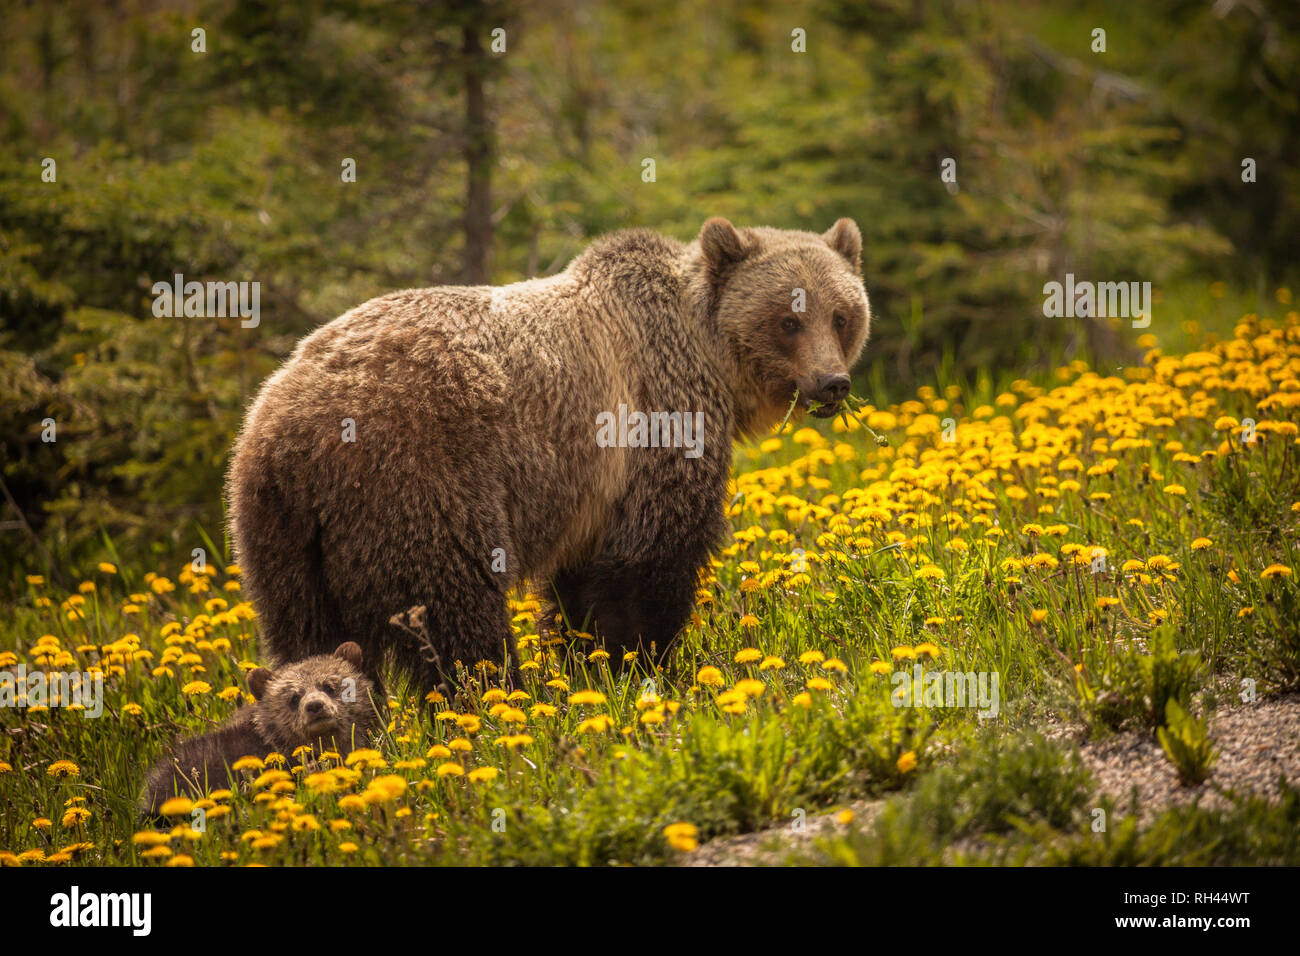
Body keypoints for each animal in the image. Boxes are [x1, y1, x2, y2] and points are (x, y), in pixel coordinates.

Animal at [228, 221, 868, 691]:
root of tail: (286, 429)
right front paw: (643, 666)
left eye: (841, 315)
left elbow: (581, 586)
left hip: (281, 536)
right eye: (788, 319)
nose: (832, 383)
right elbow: (650, 561)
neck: (707, 357)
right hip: (417, 481)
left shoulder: (592, 491)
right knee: (456, 609)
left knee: (306, 635)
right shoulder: (652, 426)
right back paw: (497, 697)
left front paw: (589, 663)